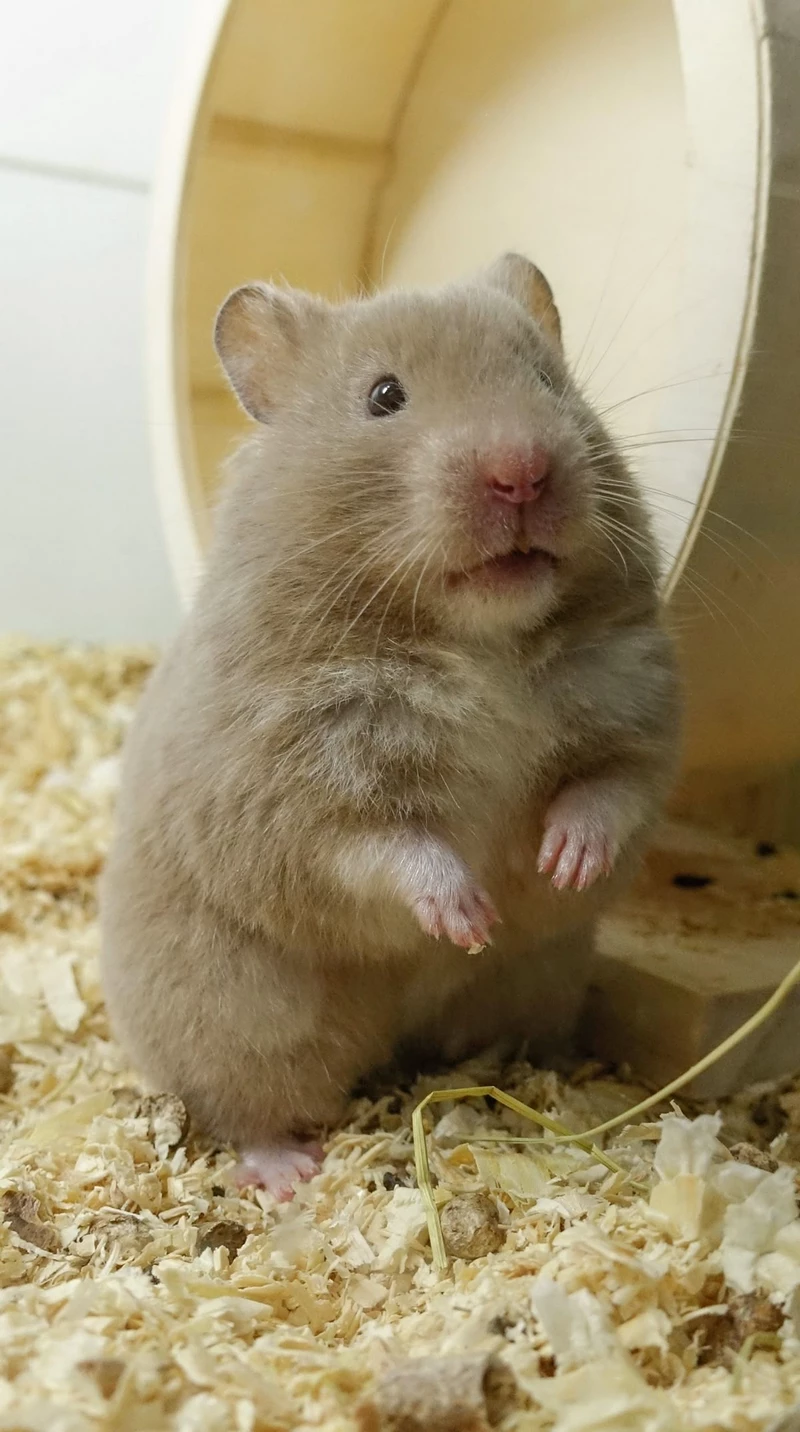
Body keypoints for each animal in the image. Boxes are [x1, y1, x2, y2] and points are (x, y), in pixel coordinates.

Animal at [100, 253, 680, 1200]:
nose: (522, 471)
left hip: (540, 983)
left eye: (547, 381)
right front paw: (471, 918)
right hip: (232, 1019)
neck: (483, 643)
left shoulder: (640, 711)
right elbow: (390, 848)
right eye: (383, 397)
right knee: (240, 1106)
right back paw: (290, 1171)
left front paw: (561, 864)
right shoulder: (298, 786)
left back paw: (528, 1080)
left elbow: (607, 789)